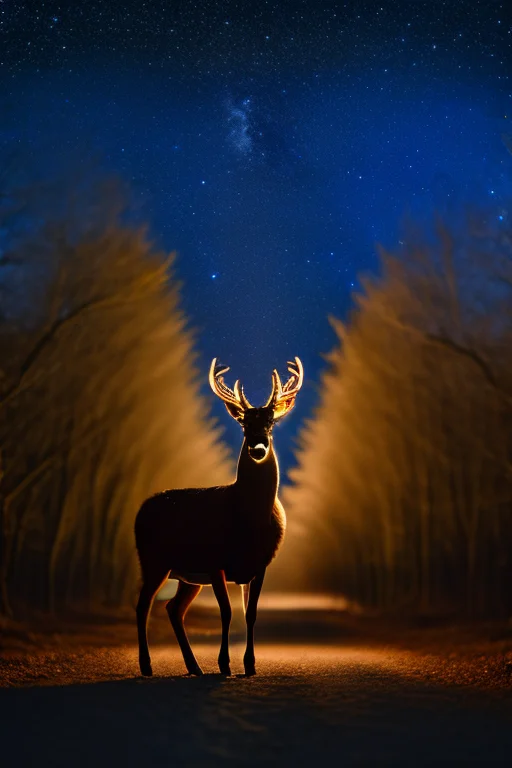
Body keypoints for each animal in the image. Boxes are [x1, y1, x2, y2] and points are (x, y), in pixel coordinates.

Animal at [135, 356, 303, 678]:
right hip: (153, 560)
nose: (258, 447)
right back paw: (147, 666)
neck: (250, 520)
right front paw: (225, 664)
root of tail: (140, 510)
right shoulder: (216, 561)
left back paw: (194, 667)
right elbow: (226, 612)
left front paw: (249, 665)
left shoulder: (260, 565)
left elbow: (250, 614)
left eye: (271, 423)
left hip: (187, 574)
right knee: (143, 605)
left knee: (173, 609)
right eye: (244, 424)